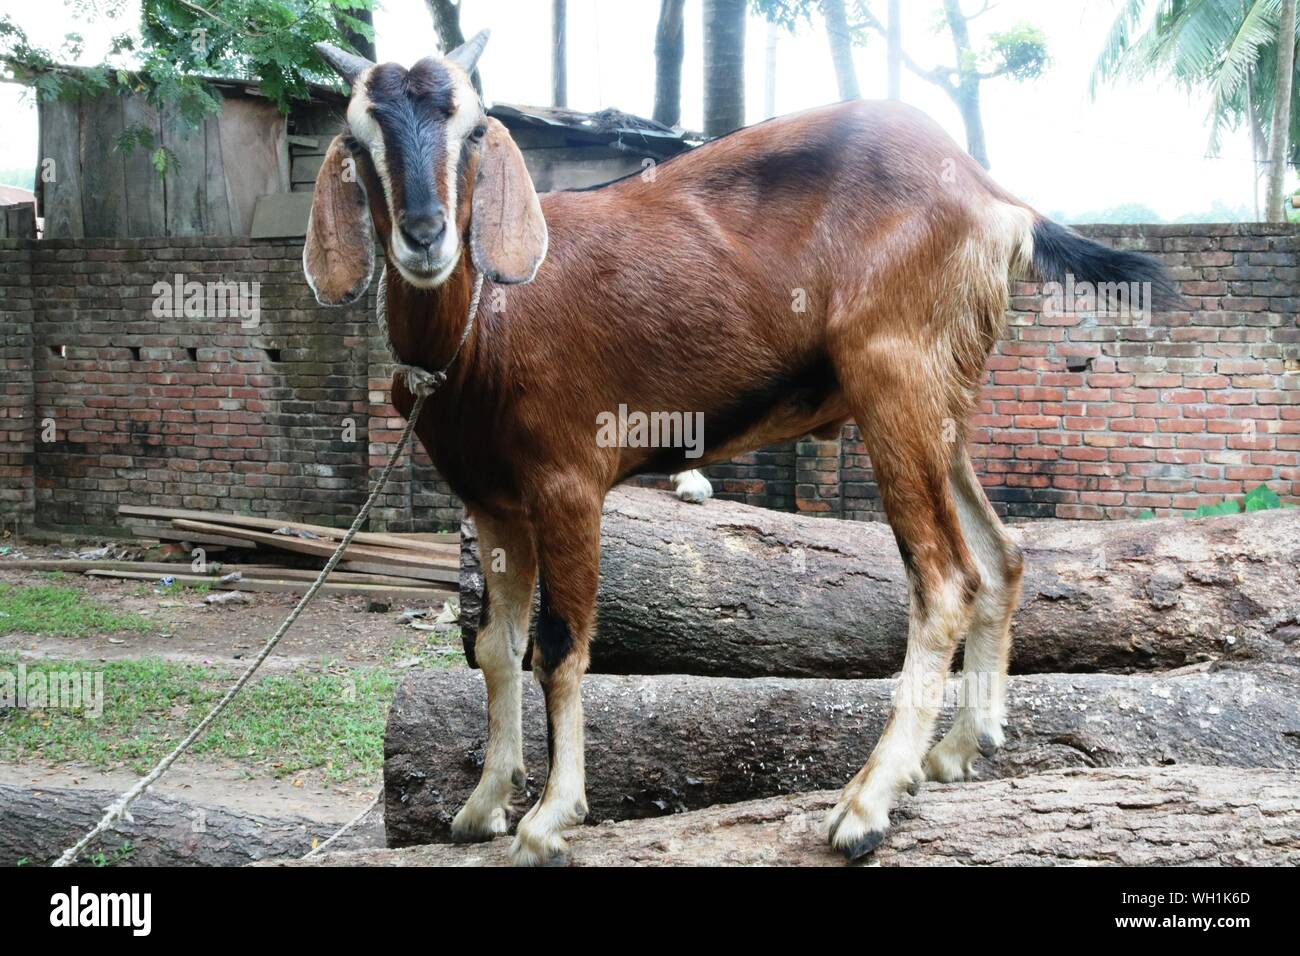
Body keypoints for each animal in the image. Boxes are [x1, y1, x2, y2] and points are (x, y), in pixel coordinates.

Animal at [307, 33, 1179, 865]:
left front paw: (550, 818)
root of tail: (997, 198)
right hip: (943, 402)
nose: (426, 237)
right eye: (359, 138)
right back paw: (960, 749)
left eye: (474, 129)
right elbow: (496, 648)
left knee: (946, 578)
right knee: (1002, 554)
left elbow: (558, 647)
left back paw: (867, 804)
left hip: (895, 376)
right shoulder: (491, 501)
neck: (482, 330)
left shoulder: (568, 482)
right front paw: (484, 803)